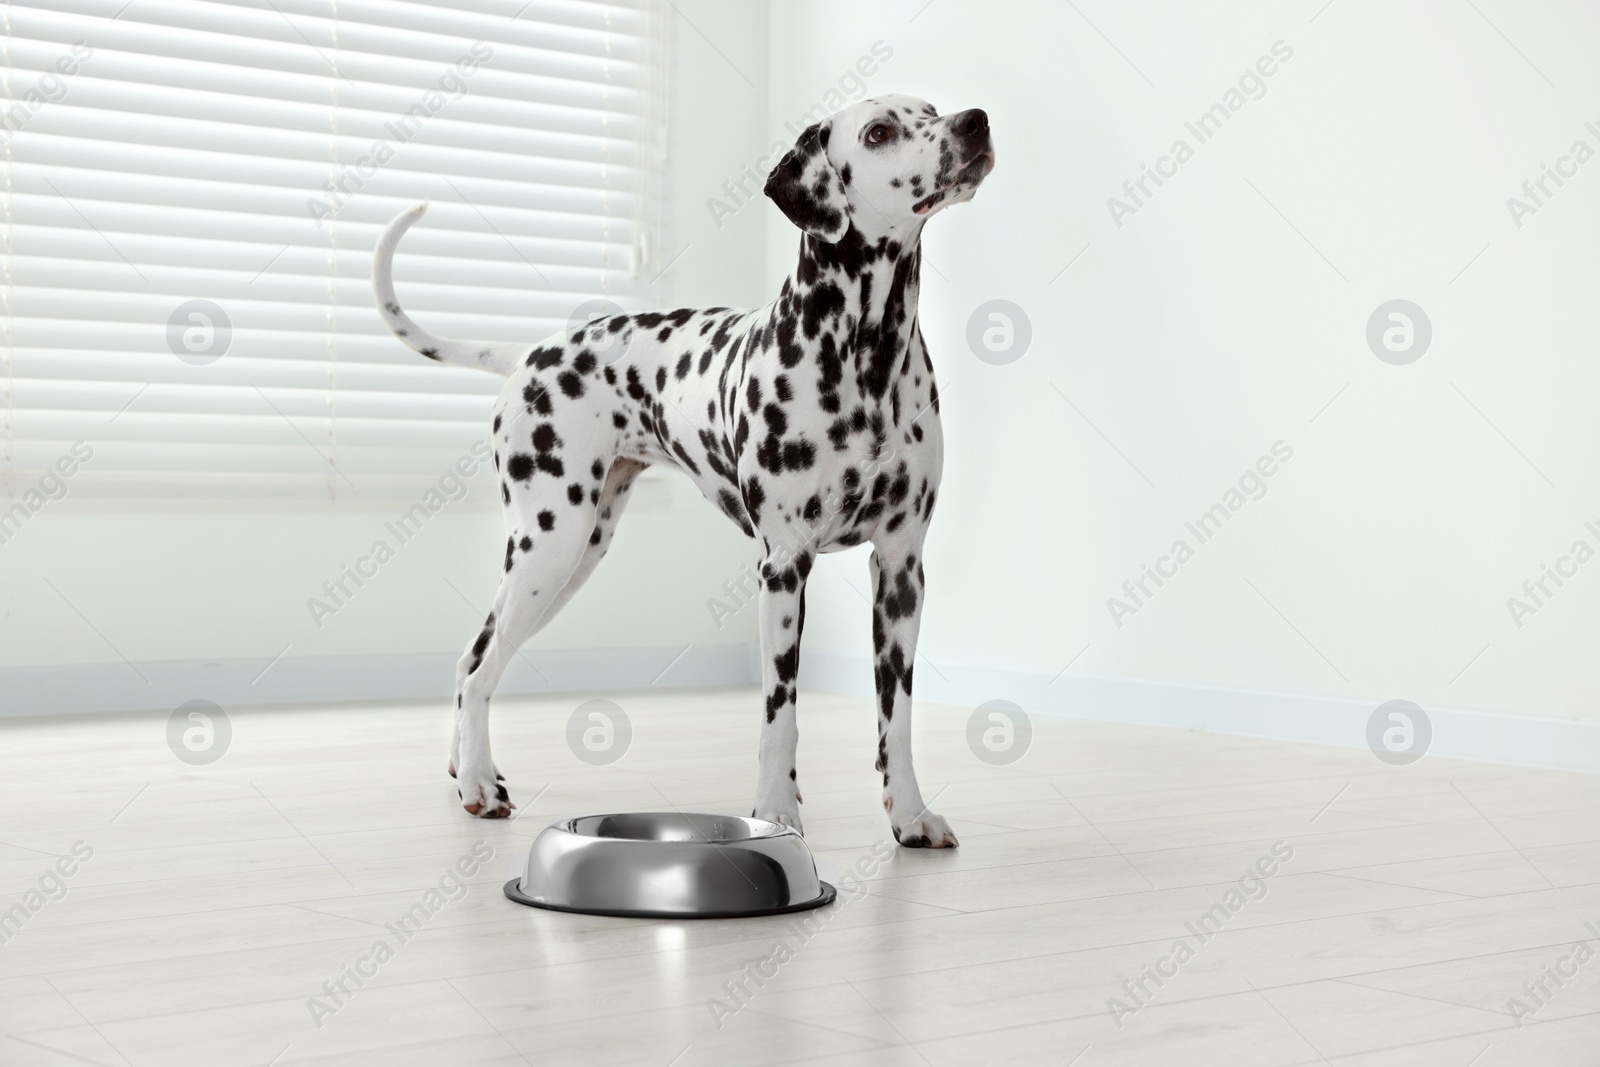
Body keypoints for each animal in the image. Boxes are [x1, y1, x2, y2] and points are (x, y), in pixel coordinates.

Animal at [374, 97, 992, 851]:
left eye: (931, 108)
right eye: (879, 132)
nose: (974, 121)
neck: (866, 357)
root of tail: (530, 354)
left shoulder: (901, 570)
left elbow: (894, 715)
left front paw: (909, 813)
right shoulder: (783, 568)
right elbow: (779, 712)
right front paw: (776, 813)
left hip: (575, 556)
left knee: (476, 658)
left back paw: (464, 769)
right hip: (548, 547)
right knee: (478, 664)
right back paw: (478, 784)